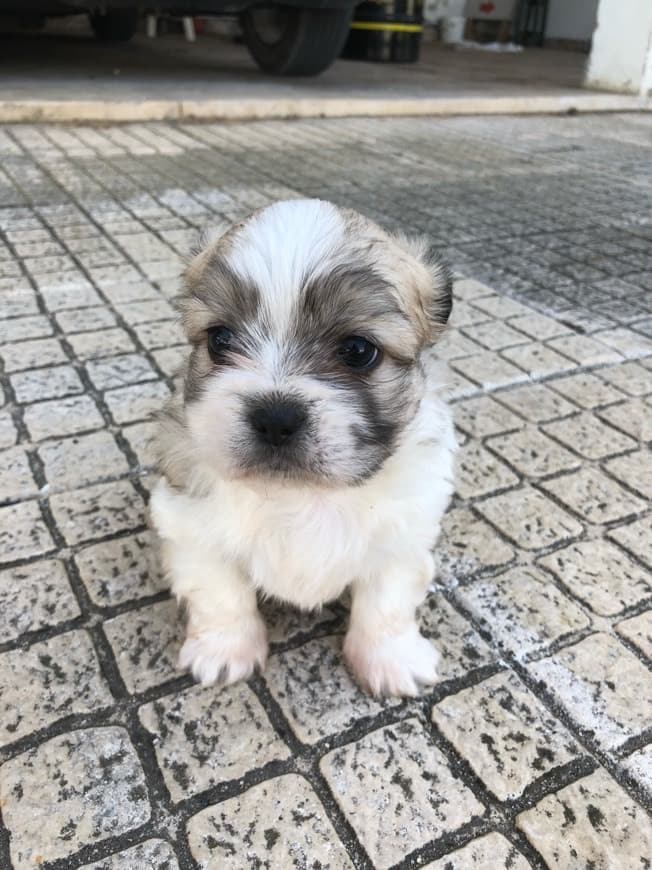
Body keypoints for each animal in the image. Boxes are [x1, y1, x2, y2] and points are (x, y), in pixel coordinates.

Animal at [148, 199, 456, 700]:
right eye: (220, 339)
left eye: (358, 350)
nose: (275, 417)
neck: (302, 494)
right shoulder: (191, 527)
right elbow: (220, 593)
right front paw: (226, 650)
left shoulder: (405, 533)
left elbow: (387, 602)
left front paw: (389, 658)